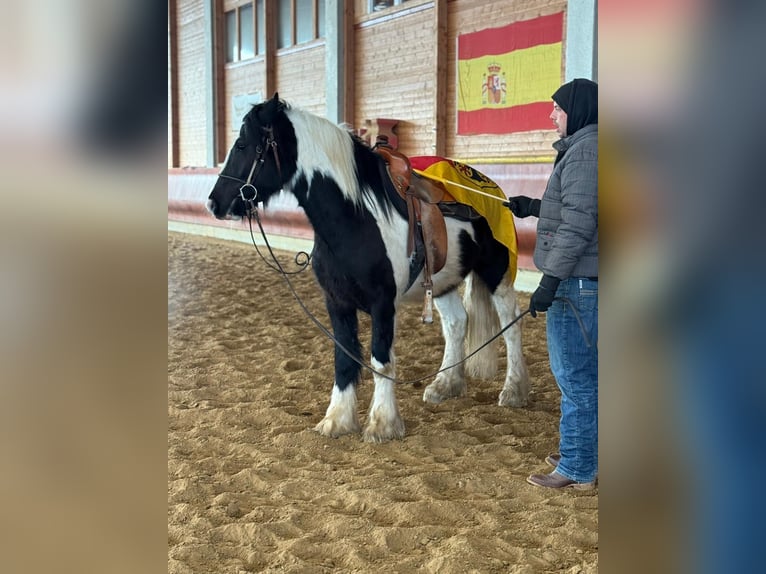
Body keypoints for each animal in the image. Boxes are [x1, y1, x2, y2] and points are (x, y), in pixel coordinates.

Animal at [207, 94, 530, 442]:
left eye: (243, 144)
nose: (213, 203)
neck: (354, 218)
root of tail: (495, 191)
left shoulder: (383, 304)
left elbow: (381, 359)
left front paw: (383, 424)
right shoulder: (336, 303)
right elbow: (344, 359)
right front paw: (337, 420)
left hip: (497, 273)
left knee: (511, 325)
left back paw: (514, 390)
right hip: (442, 281)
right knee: (457, 323)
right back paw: (445, 385)